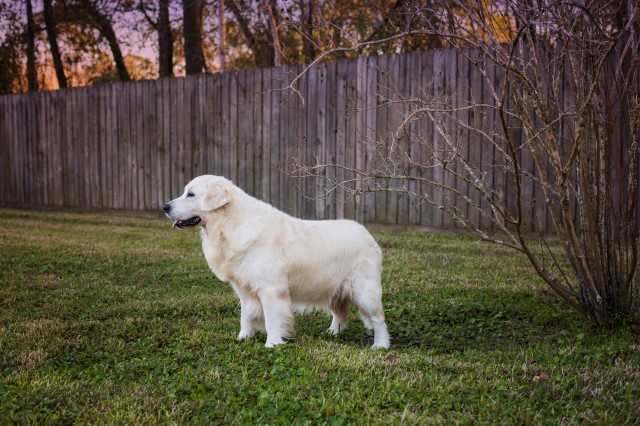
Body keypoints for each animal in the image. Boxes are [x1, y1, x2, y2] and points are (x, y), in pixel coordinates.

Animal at [162, 175, 390, 348]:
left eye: (191, 194)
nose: (165, 207)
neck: (230, 225)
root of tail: (367, 233)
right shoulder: (244, 290)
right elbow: (246, 316)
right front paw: (243, 338)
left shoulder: (271, 289)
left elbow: (272, 319)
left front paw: (272, 344)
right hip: (333, 290)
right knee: (340, 313)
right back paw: (333, 333)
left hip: (364, 292)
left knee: (379, 320)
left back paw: (380, 345)